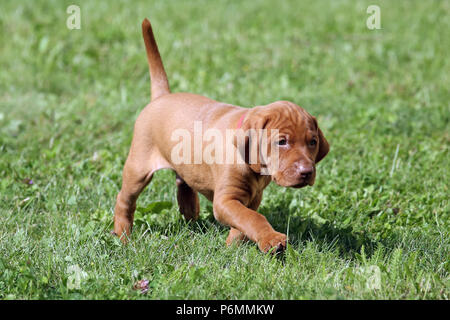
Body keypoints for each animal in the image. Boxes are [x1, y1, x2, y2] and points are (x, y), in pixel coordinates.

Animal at [112, 18, 328, 254]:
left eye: (313, 142)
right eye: (281, 142)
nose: (307, 172)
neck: (254, 166)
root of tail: (162, 96)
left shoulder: (253, 197)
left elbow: (244, 221)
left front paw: (232, 247)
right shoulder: (225, 200)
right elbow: (253, 218)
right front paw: (271, 239)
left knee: (183, 182)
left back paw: (190, 212)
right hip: (138, 167)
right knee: (124, 200)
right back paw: (122, 236)